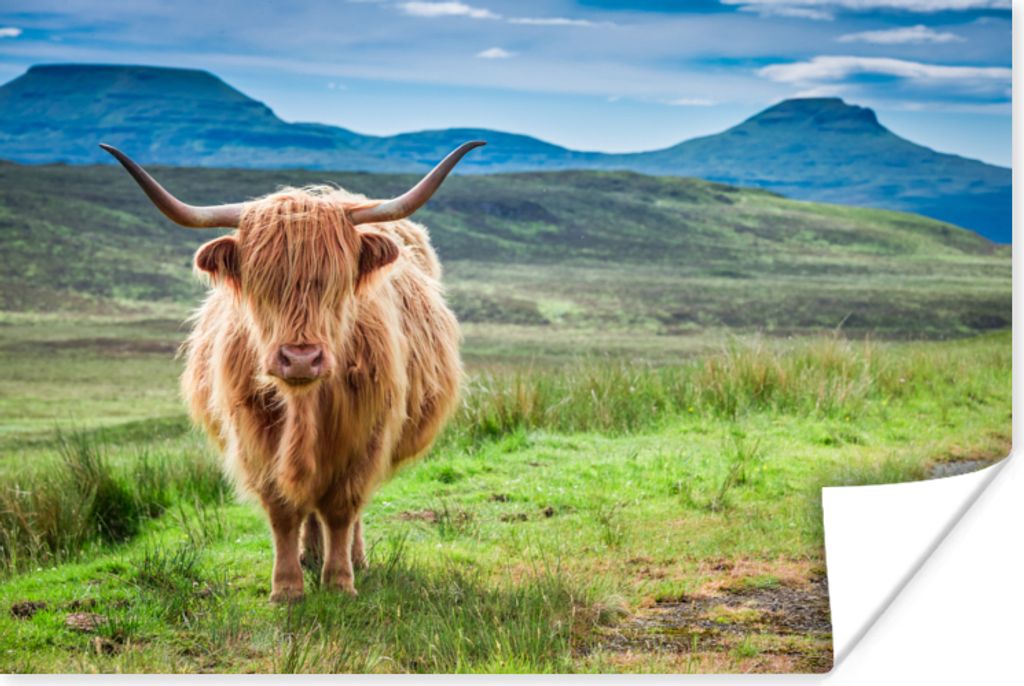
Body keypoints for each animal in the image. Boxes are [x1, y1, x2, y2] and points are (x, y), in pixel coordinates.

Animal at [101, 142, 483, 601]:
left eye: (336, 282)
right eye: (261, 283)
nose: (301, 358)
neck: (305, 404)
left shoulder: (365, 435)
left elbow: (342, 508)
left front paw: (339, 581)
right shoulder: (255, 436)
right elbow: (283, 509)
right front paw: (286, 587)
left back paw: (351, 559)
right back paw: (309, 555)